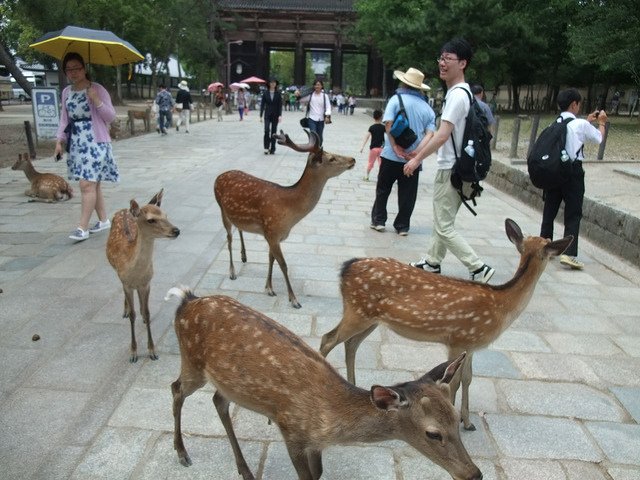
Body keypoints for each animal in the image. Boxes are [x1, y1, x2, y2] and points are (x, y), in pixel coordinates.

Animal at [105, 189, 180, 362]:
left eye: (166, 215)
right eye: (151, 220)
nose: (176, 230)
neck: (135, 272)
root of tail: (125, 210)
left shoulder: (147, 282)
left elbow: (147, 311)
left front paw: (152, 350)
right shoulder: (126, 283)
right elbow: (132, 316)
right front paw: (134, 353)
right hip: (117, 273)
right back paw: (125, 310)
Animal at [165, 286, 480, 480]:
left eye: (456, 418)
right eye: (433, 433)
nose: (474, 473)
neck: (330, 420)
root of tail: (186, 301)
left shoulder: (314, 443)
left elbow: (318, 474)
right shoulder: (291, 430)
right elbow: (306, 476)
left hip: (227, 382)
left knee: (218, 400)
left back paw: (245, 470)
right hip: (192, 363)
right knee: (176, 388)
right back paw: (182, 453)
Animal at [214, 127, 356, 308]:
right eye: (331, 158)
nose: (353, 159)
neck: (290, 212)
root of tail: (218, 176)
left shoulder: (273, 235)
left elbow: (271, 259)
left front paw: (268, 288)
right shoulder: (272, 232)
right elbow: (283, 264)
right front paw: (294, 299)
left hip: (235, 216)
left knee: (239, 228)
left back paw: (244, 256)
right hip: (221, 209)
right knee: (229, 238)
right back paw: (232, 272)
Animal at [318, 218, 568, 432]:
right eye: (548, 243)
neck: (502, 307)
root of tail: (346, 268)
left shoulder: (471, 344)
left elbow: (468, 379)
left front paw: (468, 422)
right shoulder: (457, 339)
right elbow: (454, 382)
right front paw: (455, 419)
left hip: (371, 318)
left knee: (351, 344)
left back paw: (356, 388)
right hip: (357, 312)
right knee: (328, 338)